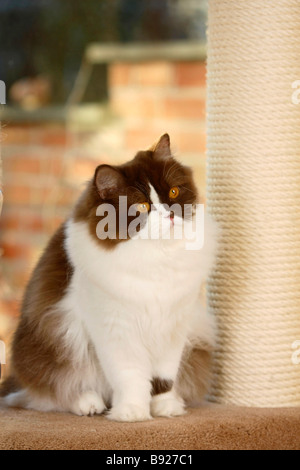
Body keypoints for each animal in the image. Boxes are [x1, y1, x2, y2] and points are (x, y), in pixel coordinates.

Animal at [0, 133, 217, 422]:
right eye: (141, 206)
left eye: (173, 192)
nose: (170, 215)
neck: (156, 257)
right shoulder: (114, 328)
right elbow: (131, 377)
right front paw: (132, 412)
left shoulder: (174, 326)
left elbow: (164, 378)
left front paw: (165, 407)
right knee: (49, 394)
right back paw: (89, 404)